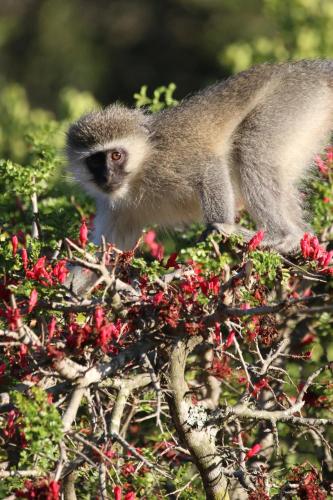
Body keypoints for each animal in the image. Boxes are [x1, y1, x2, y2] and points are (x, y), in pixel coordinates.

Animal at [65, 60, 332, 254]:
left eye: (116, 156)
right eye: (96, 161)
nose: (107, 175)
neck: (138, 173)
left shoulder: (168, 160)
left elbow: (209, 166)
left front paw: (223, 225)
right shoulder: (116, 211)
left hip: (290, 101)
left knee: (251, 150)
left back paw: (283, 237)